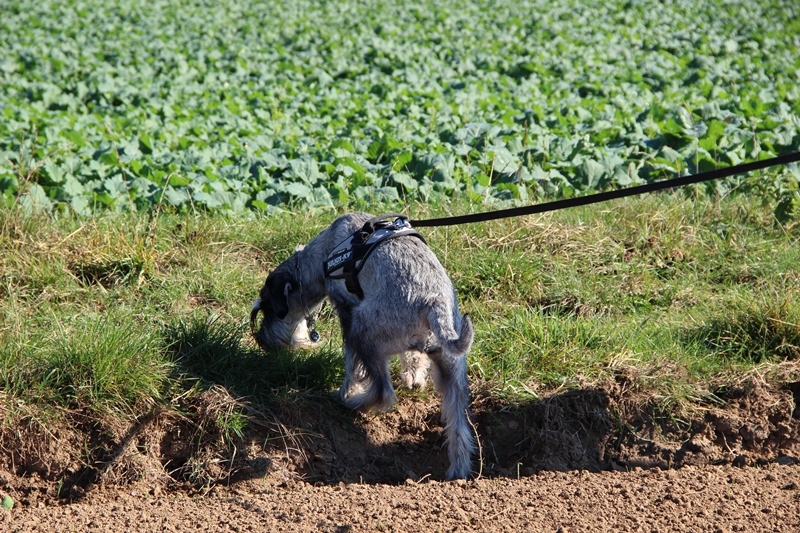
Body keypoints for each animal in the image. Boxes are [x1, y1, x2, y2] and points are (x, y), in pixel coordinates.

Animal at [250, 211, 476, 478]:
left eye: (269, 307)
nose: (261, 339)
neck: (323, 255)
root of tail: (434, 301)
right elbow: (412, 356)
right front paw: (414, 375)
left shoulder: (347, 312)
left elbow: (352, 366)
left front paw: (349, 389)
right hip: (453, 369)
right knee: (459, 425)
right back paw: (458, 470)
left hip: (364, 333)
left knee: (383, 391)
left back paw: (349, 401)